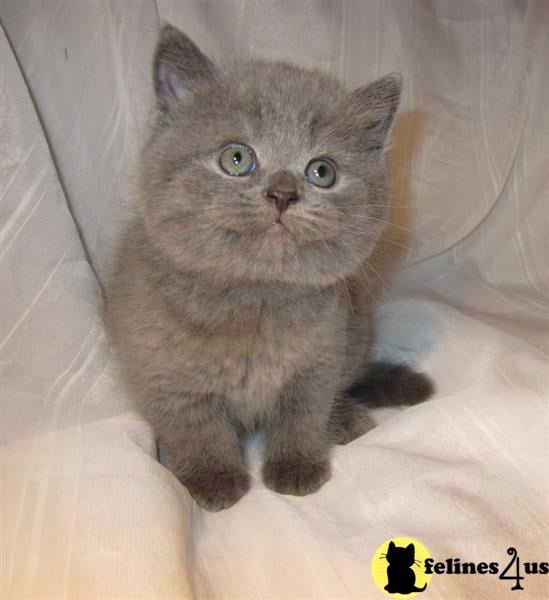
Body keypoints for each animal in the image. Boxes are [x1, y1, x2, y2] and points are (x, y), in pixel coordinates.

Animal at [107, 23, 432, 510]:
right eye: (237, 158)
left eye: (322, 171)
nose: (282, 193)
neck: (256, 297)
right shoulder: (162, 371)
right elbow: (196, 427)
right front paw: (212, 478)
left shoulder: (321, 357)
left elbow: (303, 414)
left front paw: (297, 465)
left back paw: (345, 419)